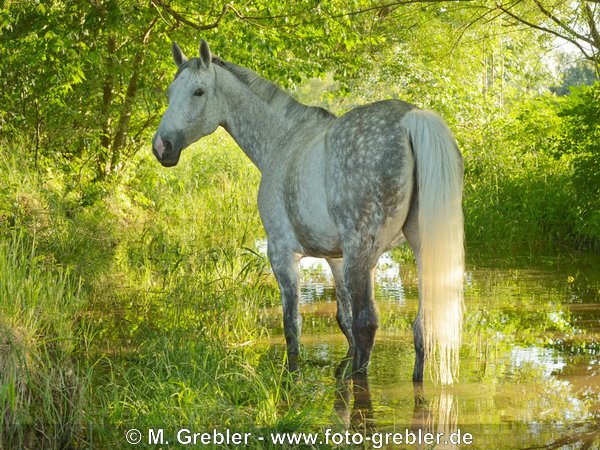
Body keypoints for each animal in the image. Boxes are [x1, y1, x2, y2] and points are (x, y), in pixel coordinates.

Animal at [151, 39, 464, 384]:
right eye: (170, 92)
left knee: (367, 324)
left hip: (363, 254)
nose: (162, 146)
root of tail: (412, 118)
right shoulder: (336, 259)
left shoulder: (283, 253)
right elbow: (343, 320)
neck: (282, 140)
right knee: (421, 328)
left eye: (198, 92)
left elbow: (293, 326)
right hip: (419, 250)